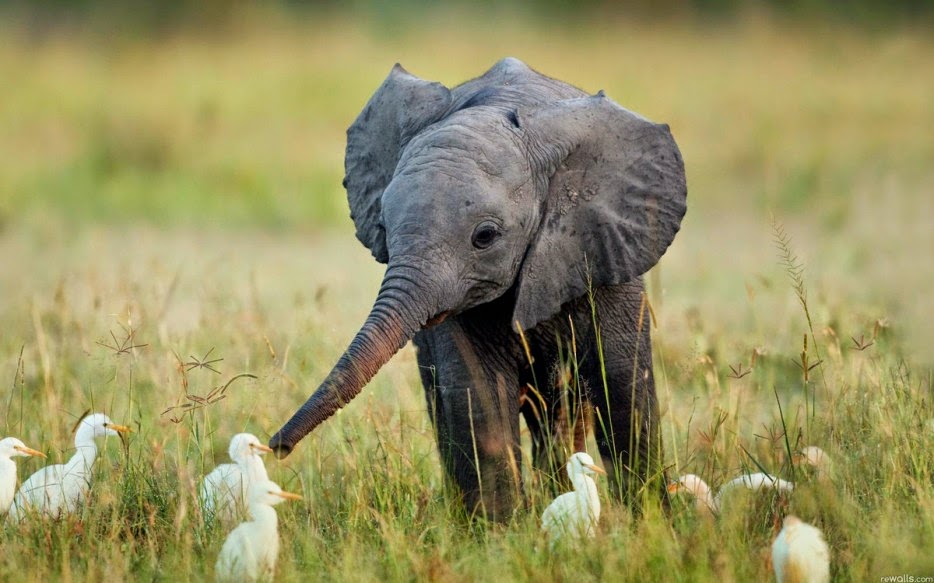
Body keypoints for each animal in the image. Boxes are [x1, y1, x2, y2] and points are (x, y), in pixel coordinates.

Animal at [270, 56, 688, 520]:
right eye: (383, 226)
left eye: (484, 236)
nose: (276, 447)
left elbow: (623, 386)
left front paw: (651, 522)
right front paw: (499, 533)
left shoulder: (605, 250)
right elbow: (477, 396)